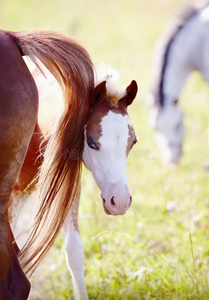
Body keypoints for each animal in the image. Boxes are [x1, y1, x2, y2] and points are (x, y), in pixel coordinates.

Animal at [0, 29, 138, 298]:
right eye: (92, 142)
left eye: (133, 142)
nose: (119, 202)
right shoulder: (14, 194)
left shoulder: (66, 185)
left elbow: (74, 251)